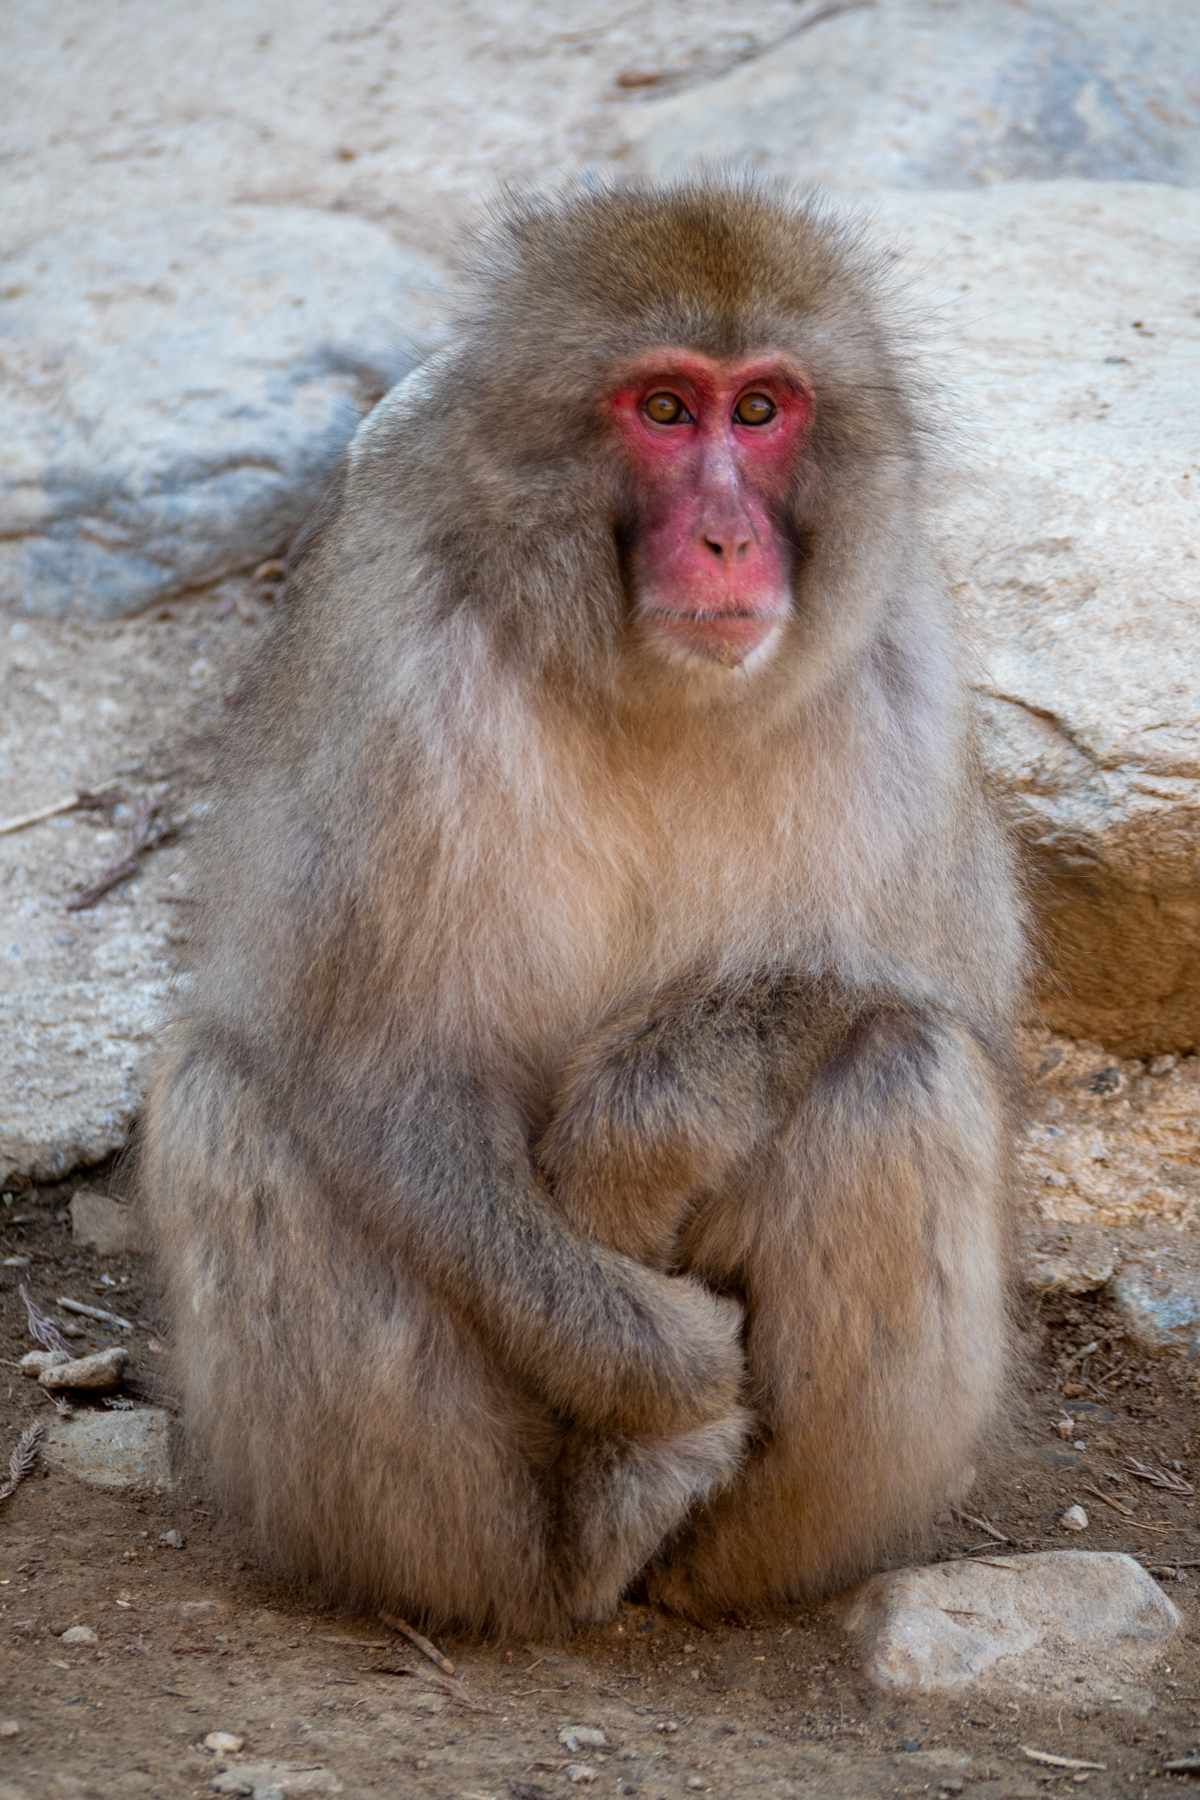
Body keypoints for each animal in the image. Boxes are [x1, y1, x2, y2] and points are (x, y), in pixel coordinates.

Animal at [141, 179, 1025, 1636]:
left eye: (761, 409)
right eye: (663, 409)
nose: (728, 539)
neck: (652, 686)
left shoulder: (905, 674)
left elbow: (936, 982)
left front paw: (628, 1148)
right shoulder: (400, 685)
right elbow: (378, 1078)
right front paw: (668, 1369)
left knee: (907, 1067)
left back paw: (687, 1538)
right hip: (459, 1521)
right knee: (220, 1102)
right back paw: (622, 1491)